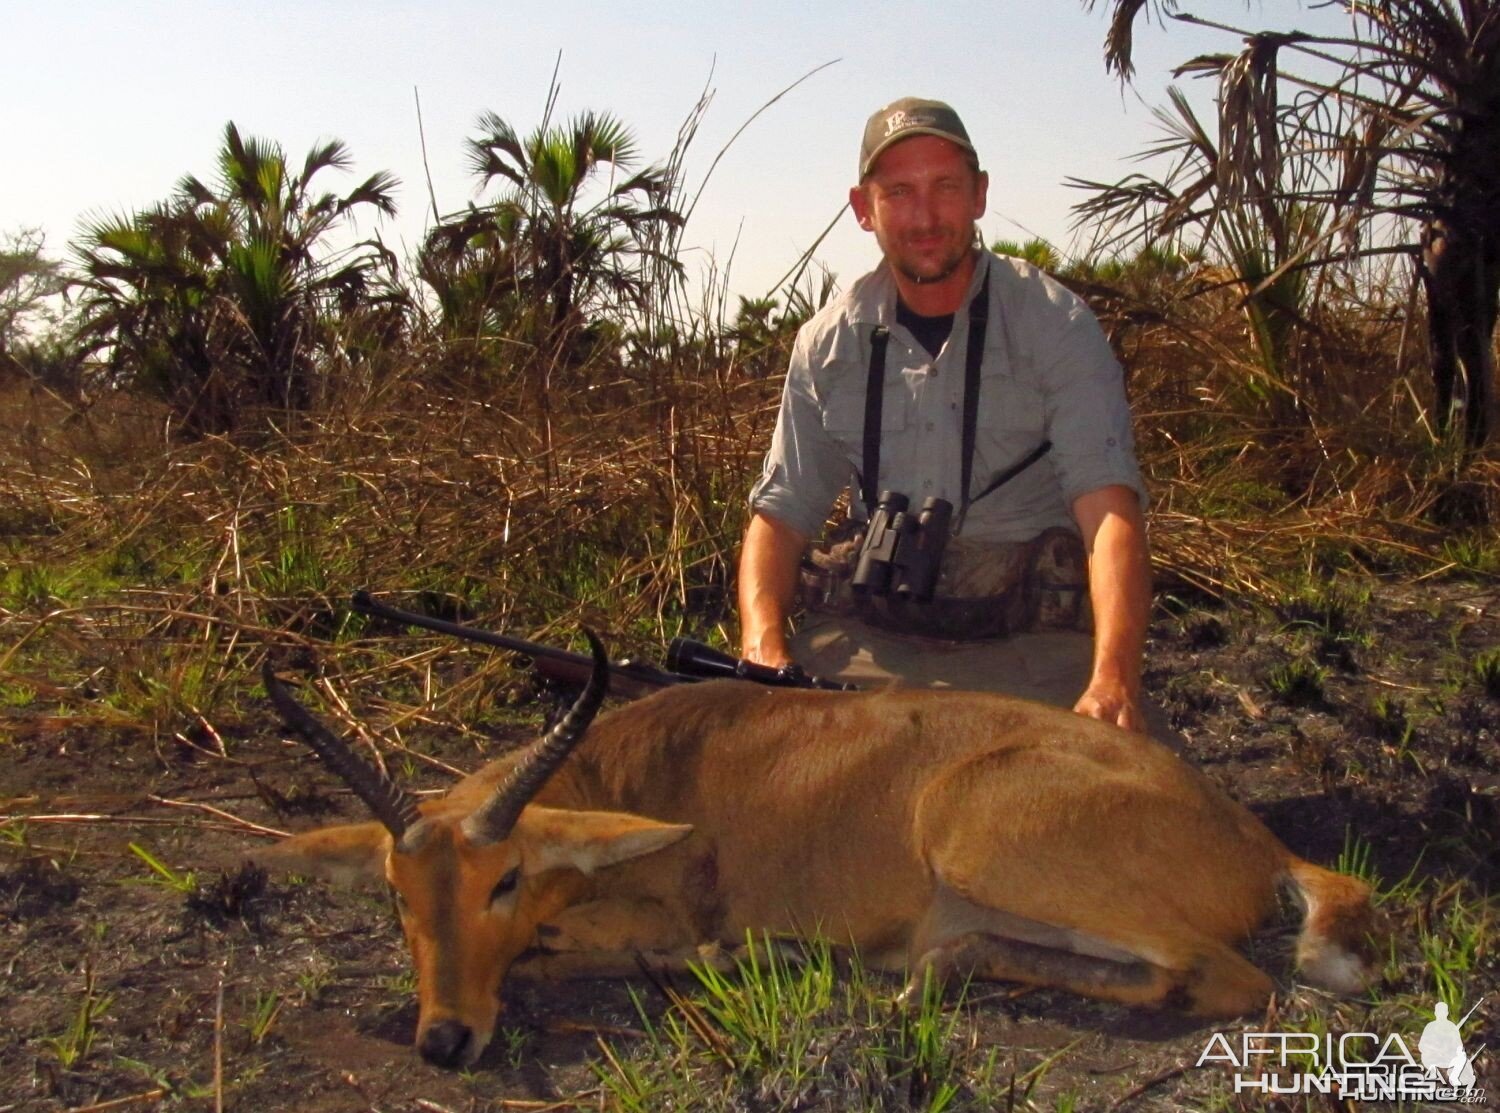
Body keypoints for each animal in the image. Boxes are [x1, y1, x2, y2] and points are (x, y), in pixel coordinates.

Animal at [252, 636, 1374, 1074]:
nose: (444, 1040)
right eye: (398, 893)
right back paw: (927, 970)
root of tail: (1255, 835)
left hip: (982, 842)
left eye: (507, 878)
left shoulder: (651, 913)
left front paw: (743, 953)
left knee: (1229, 980)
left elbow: (571, 948)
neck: (627, 776)